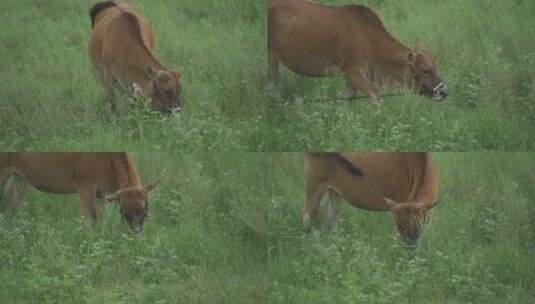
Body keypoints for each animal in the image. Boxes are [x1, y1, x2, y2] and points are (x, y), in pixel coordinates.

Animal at [0, 152, 159, 233]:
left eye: (143, 209)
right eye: (124, 211)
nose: (136, 231)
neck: (107, 161)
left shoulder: (100, 194)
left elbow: (98, 219)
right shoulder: (86, 187)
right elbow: (89, 220)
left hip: (20, 177)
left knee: (12, 205)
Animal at [268, 0, 448, 103]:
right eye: (425, 70)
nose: (444, 91)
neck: (371, 41)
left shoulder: (351, 79)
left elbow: (346, 102)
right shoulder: (353, 73)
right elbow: (376, 96)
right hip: (271, 57)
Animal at [306, 152, 440, 247]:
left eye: (419, 226)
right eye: (399, 227)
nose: (409, 248)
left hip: (334, 191)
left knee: (331, 218)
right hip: (314, 183)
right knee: (309, 213)